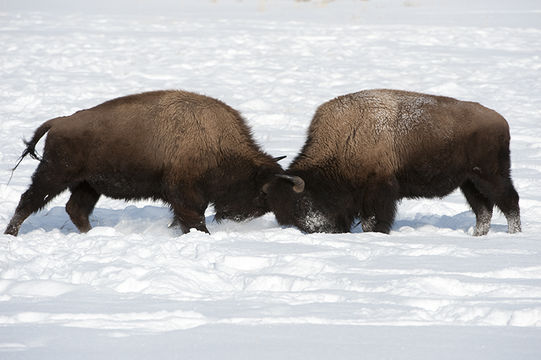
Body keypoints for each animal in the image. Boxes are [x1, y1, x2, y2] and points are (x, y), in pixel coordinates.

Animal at [5, 90, 282, 236]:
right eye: (259, 191)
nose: (242, 218)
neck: (218, 143)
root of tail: (59, 122)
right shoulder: (186, 194)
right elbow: (193, 218)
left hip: (87, 185)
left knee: (76, 209)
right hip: (55, 175)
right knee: (29, 201)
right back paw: (11, 233)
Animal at [264, 89, 520, 236]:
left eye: (300, 203)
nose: (317, 230)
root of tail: (501, 121)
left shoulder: (380, 190)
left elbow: (376, 219)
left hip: (490, 176)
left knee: (509, 201)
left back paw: (513, 234)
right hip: (468, 182)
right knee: (483, 209)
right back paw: (478, 236)